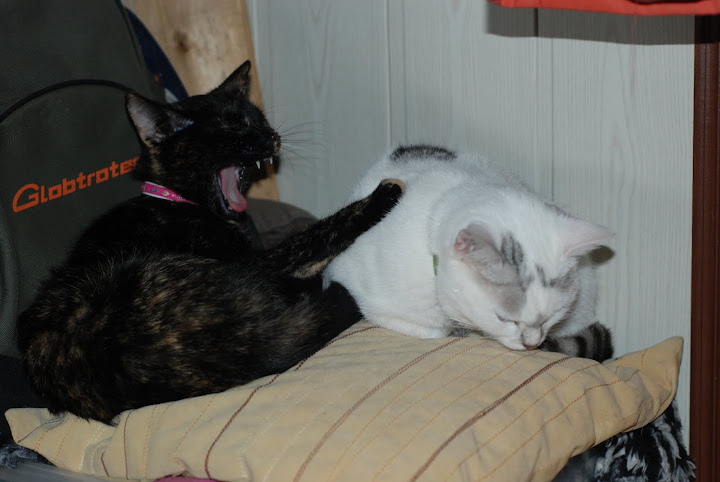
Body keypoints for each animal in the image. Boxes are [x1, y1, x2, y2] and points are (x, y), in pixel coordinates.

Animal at [16, 61, 405, 424]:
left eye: (259, 119)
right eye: (232, 128)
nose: (271, 136)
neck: (178, 200)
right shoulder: (261, 260)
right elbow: (317, 233)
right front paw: (380, 196)